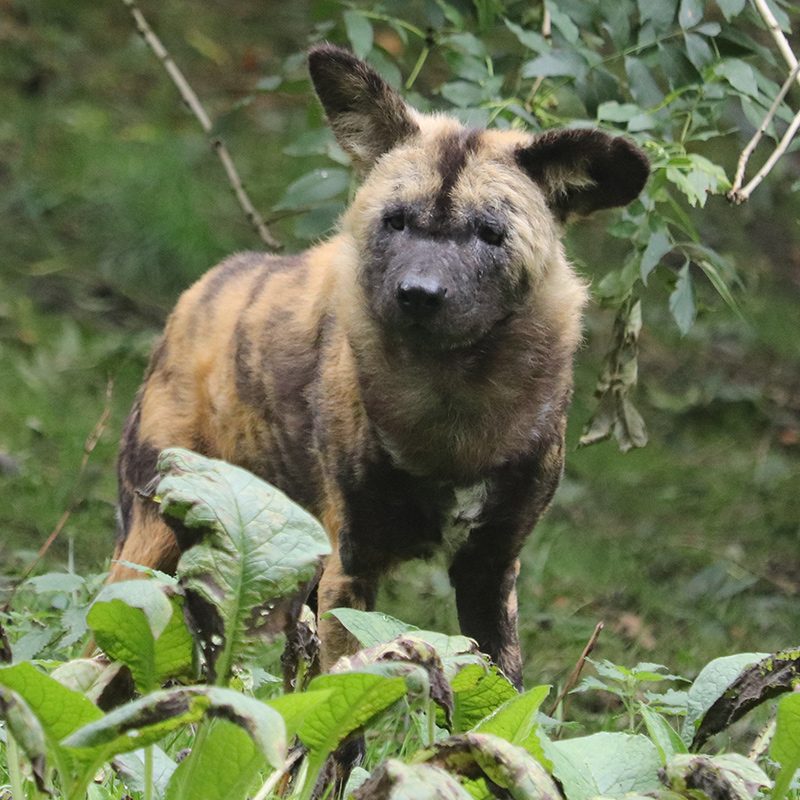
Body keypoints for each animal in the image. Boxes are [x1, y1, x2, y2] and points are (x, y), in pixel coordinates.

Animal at [114, 42, 648, 688]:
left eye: (489, 233)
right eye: (395, 220)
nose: (419, 293)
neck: (453, 408)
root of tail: (201, 289)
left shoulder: (490, 571)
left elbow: (502, 700)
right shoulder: (352, 568)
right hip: (153, 551)